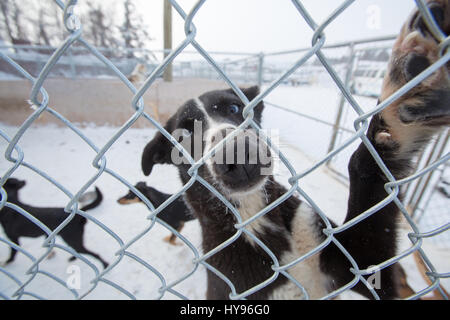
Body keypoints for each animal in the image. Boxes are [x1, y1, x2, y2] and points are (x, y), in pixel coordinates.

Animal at [141, 0, 450, 300]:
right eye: (183, 135)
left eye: (234, 109)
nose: (239, 154)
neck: (252, 222)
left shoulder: (361, 263)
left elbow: (363, 163)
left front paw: (411, 86)